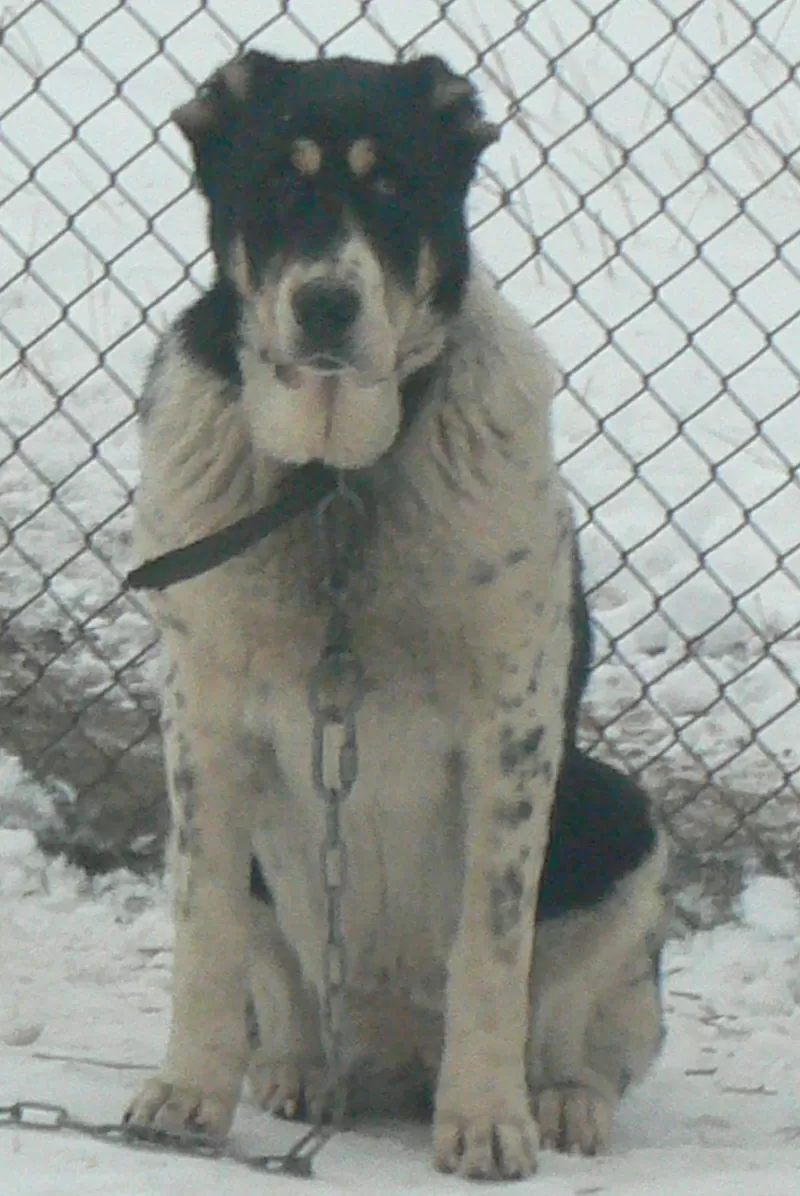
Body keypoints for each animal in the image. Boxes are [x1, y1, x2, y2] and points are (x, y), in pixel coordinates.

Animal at [124, 51, 669, 1181]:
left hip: (618, 815)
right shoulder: (202, 719)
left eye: (392, 188)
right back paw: (293, 1072)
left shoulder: (513, 730)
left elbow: (491, 950)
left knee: (575, 1029)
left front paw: (488, 1119)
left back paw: (559, 1101)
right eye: (277, 182)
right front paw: (189, 1095)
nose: (328, 305)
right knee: (282, 989)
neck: (335, 480)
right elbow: (205, 936)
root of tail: (385, 1051)